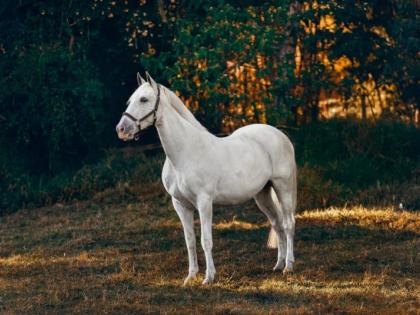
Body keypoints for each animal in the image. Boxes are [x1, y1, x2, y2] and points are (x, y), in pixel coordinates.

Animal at [116, 73, 296, 286]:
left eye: (144, 99)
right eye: (130, 101)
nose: (121, 129)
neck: (185, 152)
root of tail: (280, 134)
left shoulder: (204, 202)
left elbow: (206, 240)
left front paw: (209, 277)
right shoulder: (180, 204)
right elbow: (190, 241)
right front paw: (190, 276)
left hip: (283, 188)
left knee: (288, 223)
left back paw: (288, 266)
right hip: (262, 194)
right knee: (277, 223)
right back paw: (278, 264)